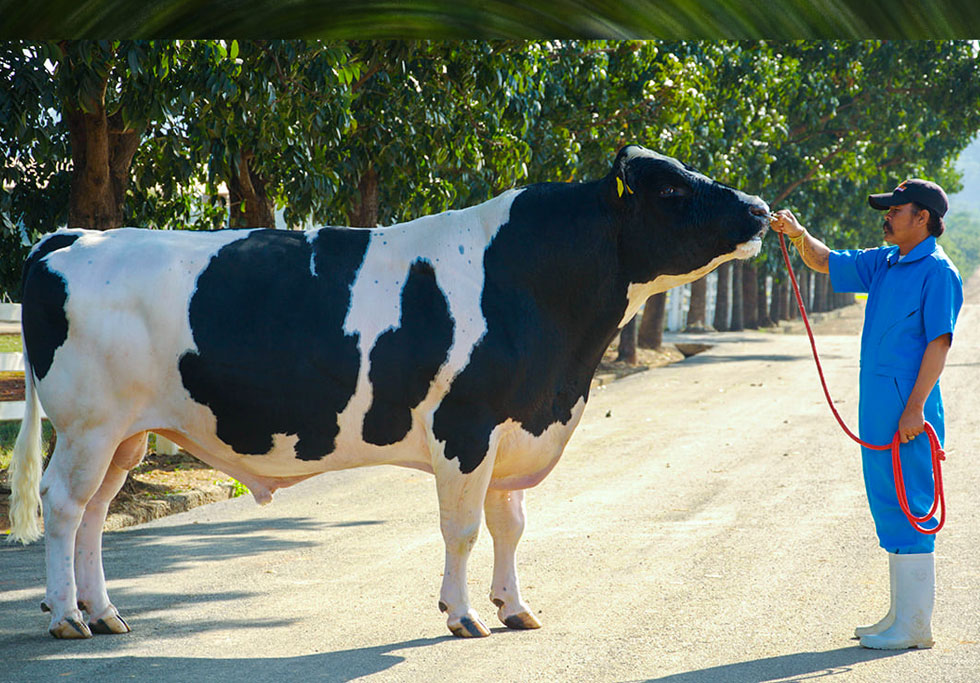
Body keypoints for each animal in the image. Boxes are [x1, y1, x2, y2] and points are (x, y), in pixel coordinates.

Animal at [9, 146, 772, 640]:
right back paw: (67, 616)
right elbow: (463, 529)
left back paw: (103, 612)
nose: (762, 208)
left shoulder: (515, 425)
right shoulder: (466, 427)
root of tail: (75, 236)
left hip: (125, 434)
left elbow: (511, 525)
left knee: (95, 514)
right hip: (89, 424)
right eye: (671, 190)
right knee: (63, 506)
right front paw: (463, 615)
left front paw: (515, 606)